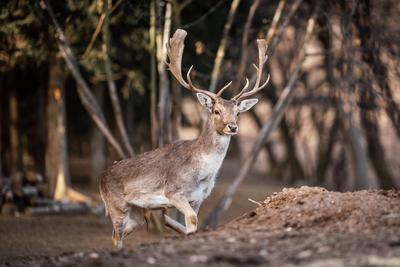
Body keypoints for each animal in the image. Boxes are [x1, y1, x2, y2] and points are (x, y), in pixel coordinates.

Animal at [98, 29, 270, 249]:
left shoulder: (199, 198)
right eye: (216, 111)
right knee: (115, 236)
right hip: (116, 205)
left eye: (237, 113)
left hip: (136, 212)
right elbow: (192, 220)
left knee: (121, 233)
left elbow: (192, 222)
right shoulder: (173, 191)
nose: (232, 127)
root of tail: (101, 178)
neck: (202, 173)